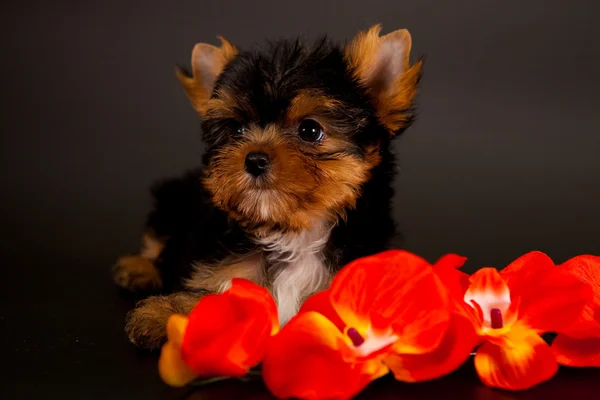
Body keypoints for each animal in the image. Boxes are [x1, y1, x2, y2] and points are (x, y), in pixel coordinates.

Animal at [112, 25, 422, 350]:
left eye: (310, 130)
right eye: (236, 129)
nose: (254, 159)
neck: (293, 233)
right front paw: (162, 314)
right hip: (175, 198)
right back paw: (138, 268)